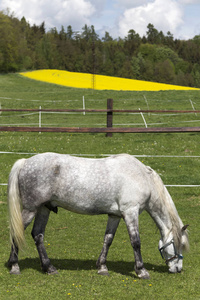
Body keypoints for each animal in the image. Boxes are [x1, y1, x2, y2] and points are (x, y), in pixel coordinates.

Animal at [7, 154, 188, 278]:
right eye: (178, 244)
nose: (178, 269)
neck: (141, 177)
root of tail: (25, 162)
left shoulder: (115, 215)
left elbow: (108, 239)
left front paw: (102, 267)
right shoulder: (131, 212)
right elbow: (135, 242)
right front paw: (141, 271)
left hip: (44, 209)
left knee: (38, 235)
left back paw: (49, 268)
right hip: (31, 209)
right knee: (17, 233)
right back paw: (14, 266)